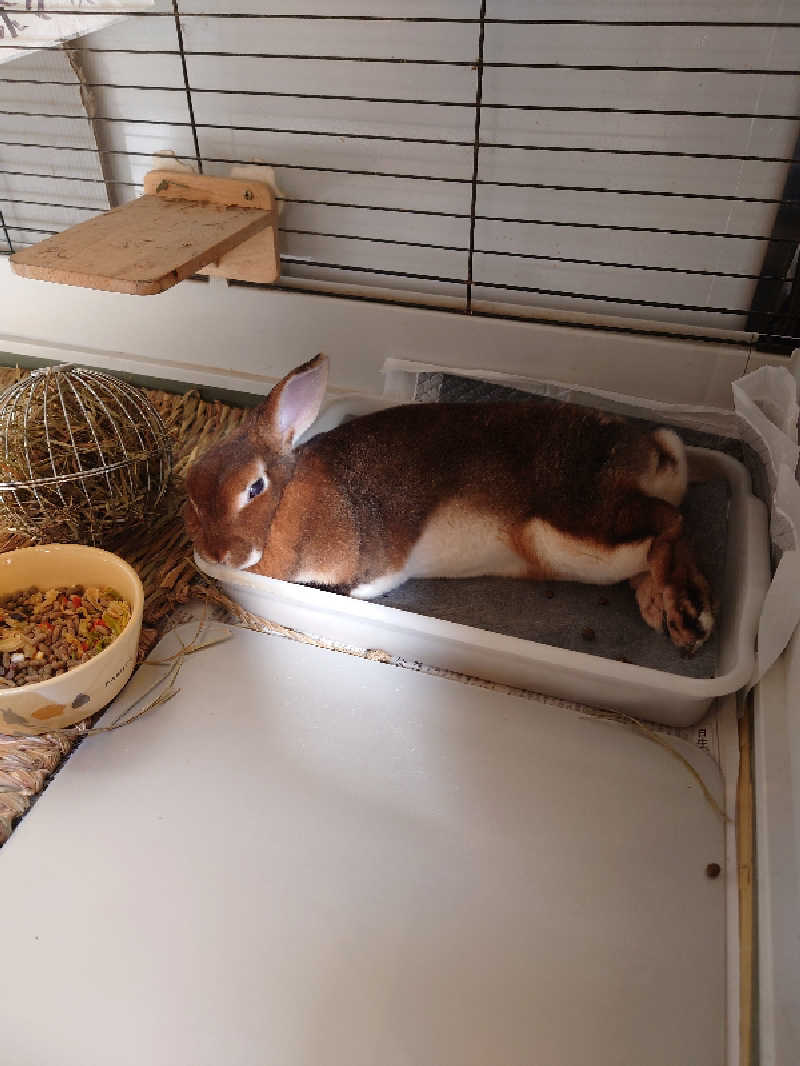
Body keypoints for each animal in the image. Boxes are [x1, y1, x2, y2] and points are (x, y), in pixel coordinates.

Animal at [184, 351, 716, 648]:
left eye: (255, 487)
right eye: (190, 493)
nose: (218, 554)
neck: (291, 502)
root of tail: (653, 452)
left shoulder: (377, 566)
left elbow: (364, 587)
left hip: (584, 526)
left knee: (671, 522)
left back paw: (690, 616)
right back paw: (659, 608)